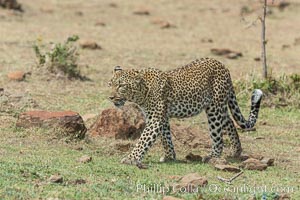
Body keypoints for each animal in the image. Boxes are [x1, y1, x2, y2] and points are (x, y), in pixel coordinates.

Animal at [108, 57, 262, 166]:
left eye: (121, 86)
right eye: (110, 84)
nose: (110, 97)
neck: (142, 92)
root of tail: (223, 66)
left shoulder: (155, 119)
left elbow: (143, 140)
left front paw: (131, 158)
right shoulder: (162, 117)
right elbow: (166, 138)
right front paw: (170, 156)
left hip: (214, 108)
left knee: (218, 134)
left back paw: (213, 156)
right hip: (218, 107)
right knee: (229, 121)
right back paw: (236, 151)